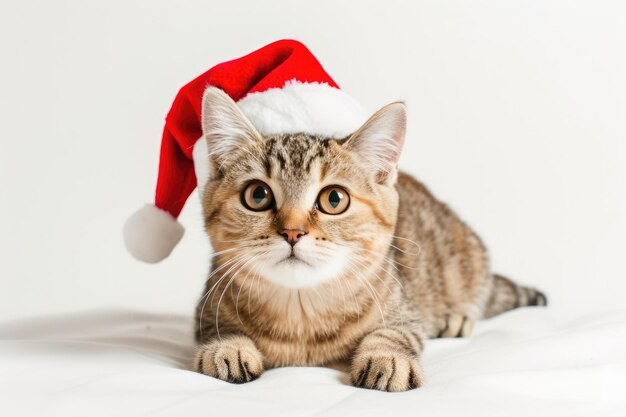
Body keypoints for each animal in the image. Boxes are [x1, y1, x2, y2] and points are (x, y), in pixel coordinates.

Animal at [191, 86, 544, 392]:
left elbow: (394, 333)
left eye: (334, 199)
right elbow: (216, 331)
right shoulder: (207, 307)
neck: (301, 313)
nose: (292, 231)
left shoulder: (406, 312)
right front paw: (227, 348)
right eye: (258, 195)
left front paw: (387, 357)